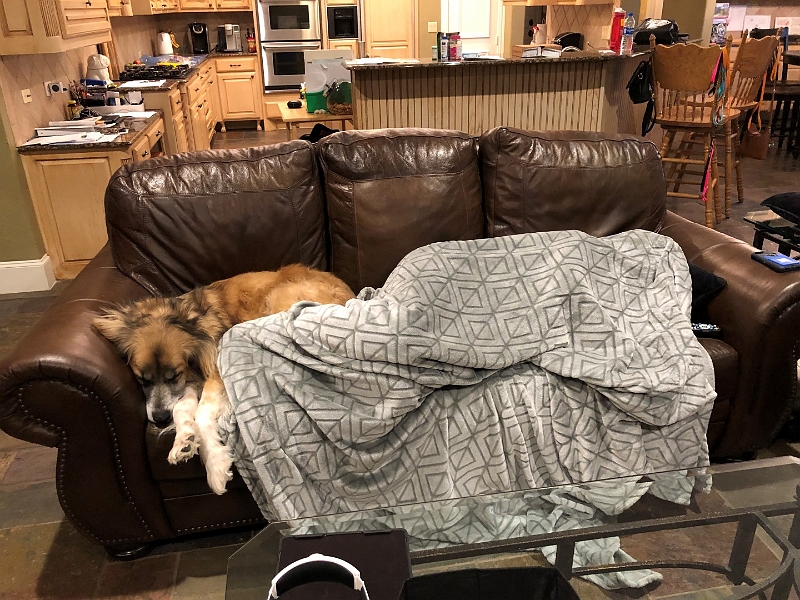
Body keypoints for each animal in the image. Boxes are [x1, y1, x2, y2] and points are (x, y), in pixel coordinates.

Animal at [94, 265, 355, 494]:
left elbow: (202, 413)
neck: (185, 321)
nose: (159, 419)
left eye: (174, 374)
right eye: (142, 379)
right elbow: (181, 406)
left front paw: (215, 466)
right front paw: (184, 439)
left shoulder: (214, 369)